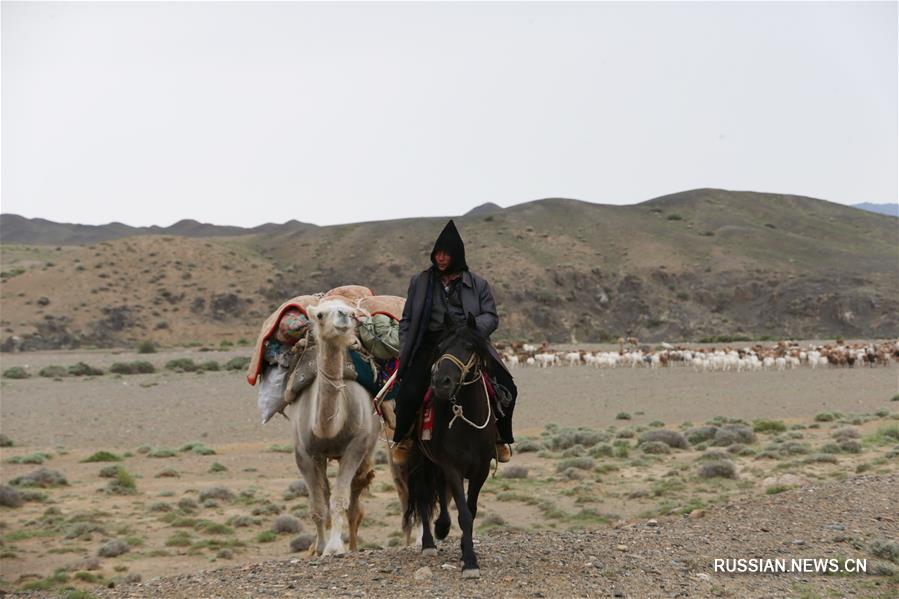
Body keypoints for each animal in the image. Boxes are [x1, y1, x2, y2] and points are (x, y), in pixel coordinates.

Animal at [284, 300, 378, 556]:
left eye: (351, 310)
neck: (328, 428)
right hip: (321, 457)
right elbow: (318, 505)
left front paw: (335, 547)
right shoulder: (304, 453)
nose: (344, 315)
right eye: (319, 314)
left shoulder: (356, 446)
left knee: (356, 494)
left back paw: (353, 546)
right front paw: (319, 547)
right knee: (326, 491)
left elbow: (340, 500)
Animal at [404, 314, 496, 576]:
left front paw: (466, 551)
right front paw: (470, 563)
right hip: (422, 458)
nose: (441, 382)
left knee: (439, 487)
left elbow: (471, 512)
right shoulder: (453, 466)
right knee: (424, 493)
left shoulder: (481, 469)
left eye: (469, 347)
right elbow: (463, 514)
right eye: (439, 348)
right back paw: (429, 541)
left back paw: (442, 527)